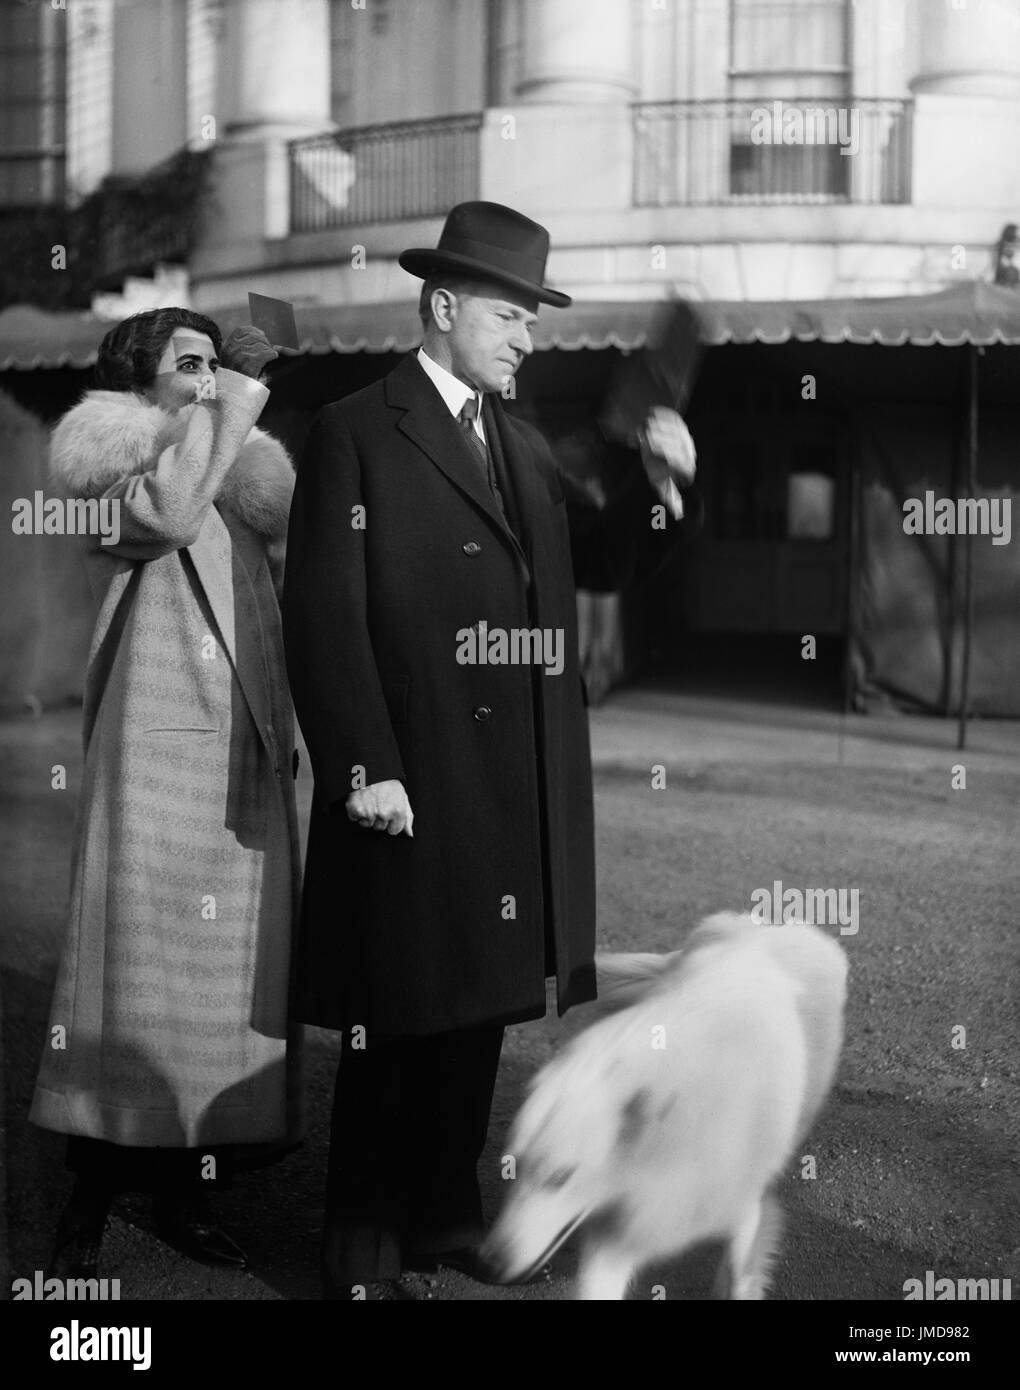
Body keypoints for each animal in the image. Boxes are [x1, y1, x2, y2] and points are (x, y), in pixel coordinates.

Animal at [483, 917, 850, 1295]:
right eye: (512, 1167)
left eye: (561, 1177)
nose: (488, 1265)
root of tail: (763, 924)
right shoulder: (618, 1236)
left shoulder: (742, 1210)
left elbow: (740, 1274)